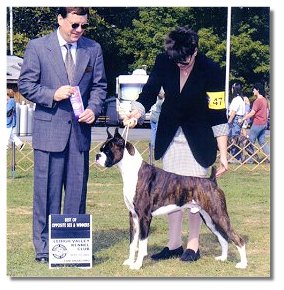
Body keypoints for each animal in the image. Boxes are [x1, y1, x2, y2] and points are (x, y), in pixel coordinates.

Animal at [95, 128, 246, 270]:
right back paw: (223, 258)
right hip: (209, 219)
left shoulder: (144, 217)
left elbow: (142, 244)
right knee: (223, 238)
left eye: (107, 150)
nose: (97, 155)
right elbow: (133, 242)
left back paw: (243, 264)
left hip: (219, 215)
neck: (132, 171)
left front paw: (137, 265)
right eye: (101, 149)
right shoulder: (133, 216)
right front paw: (130, 261)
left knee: (238, 239)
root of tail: (212, 180)